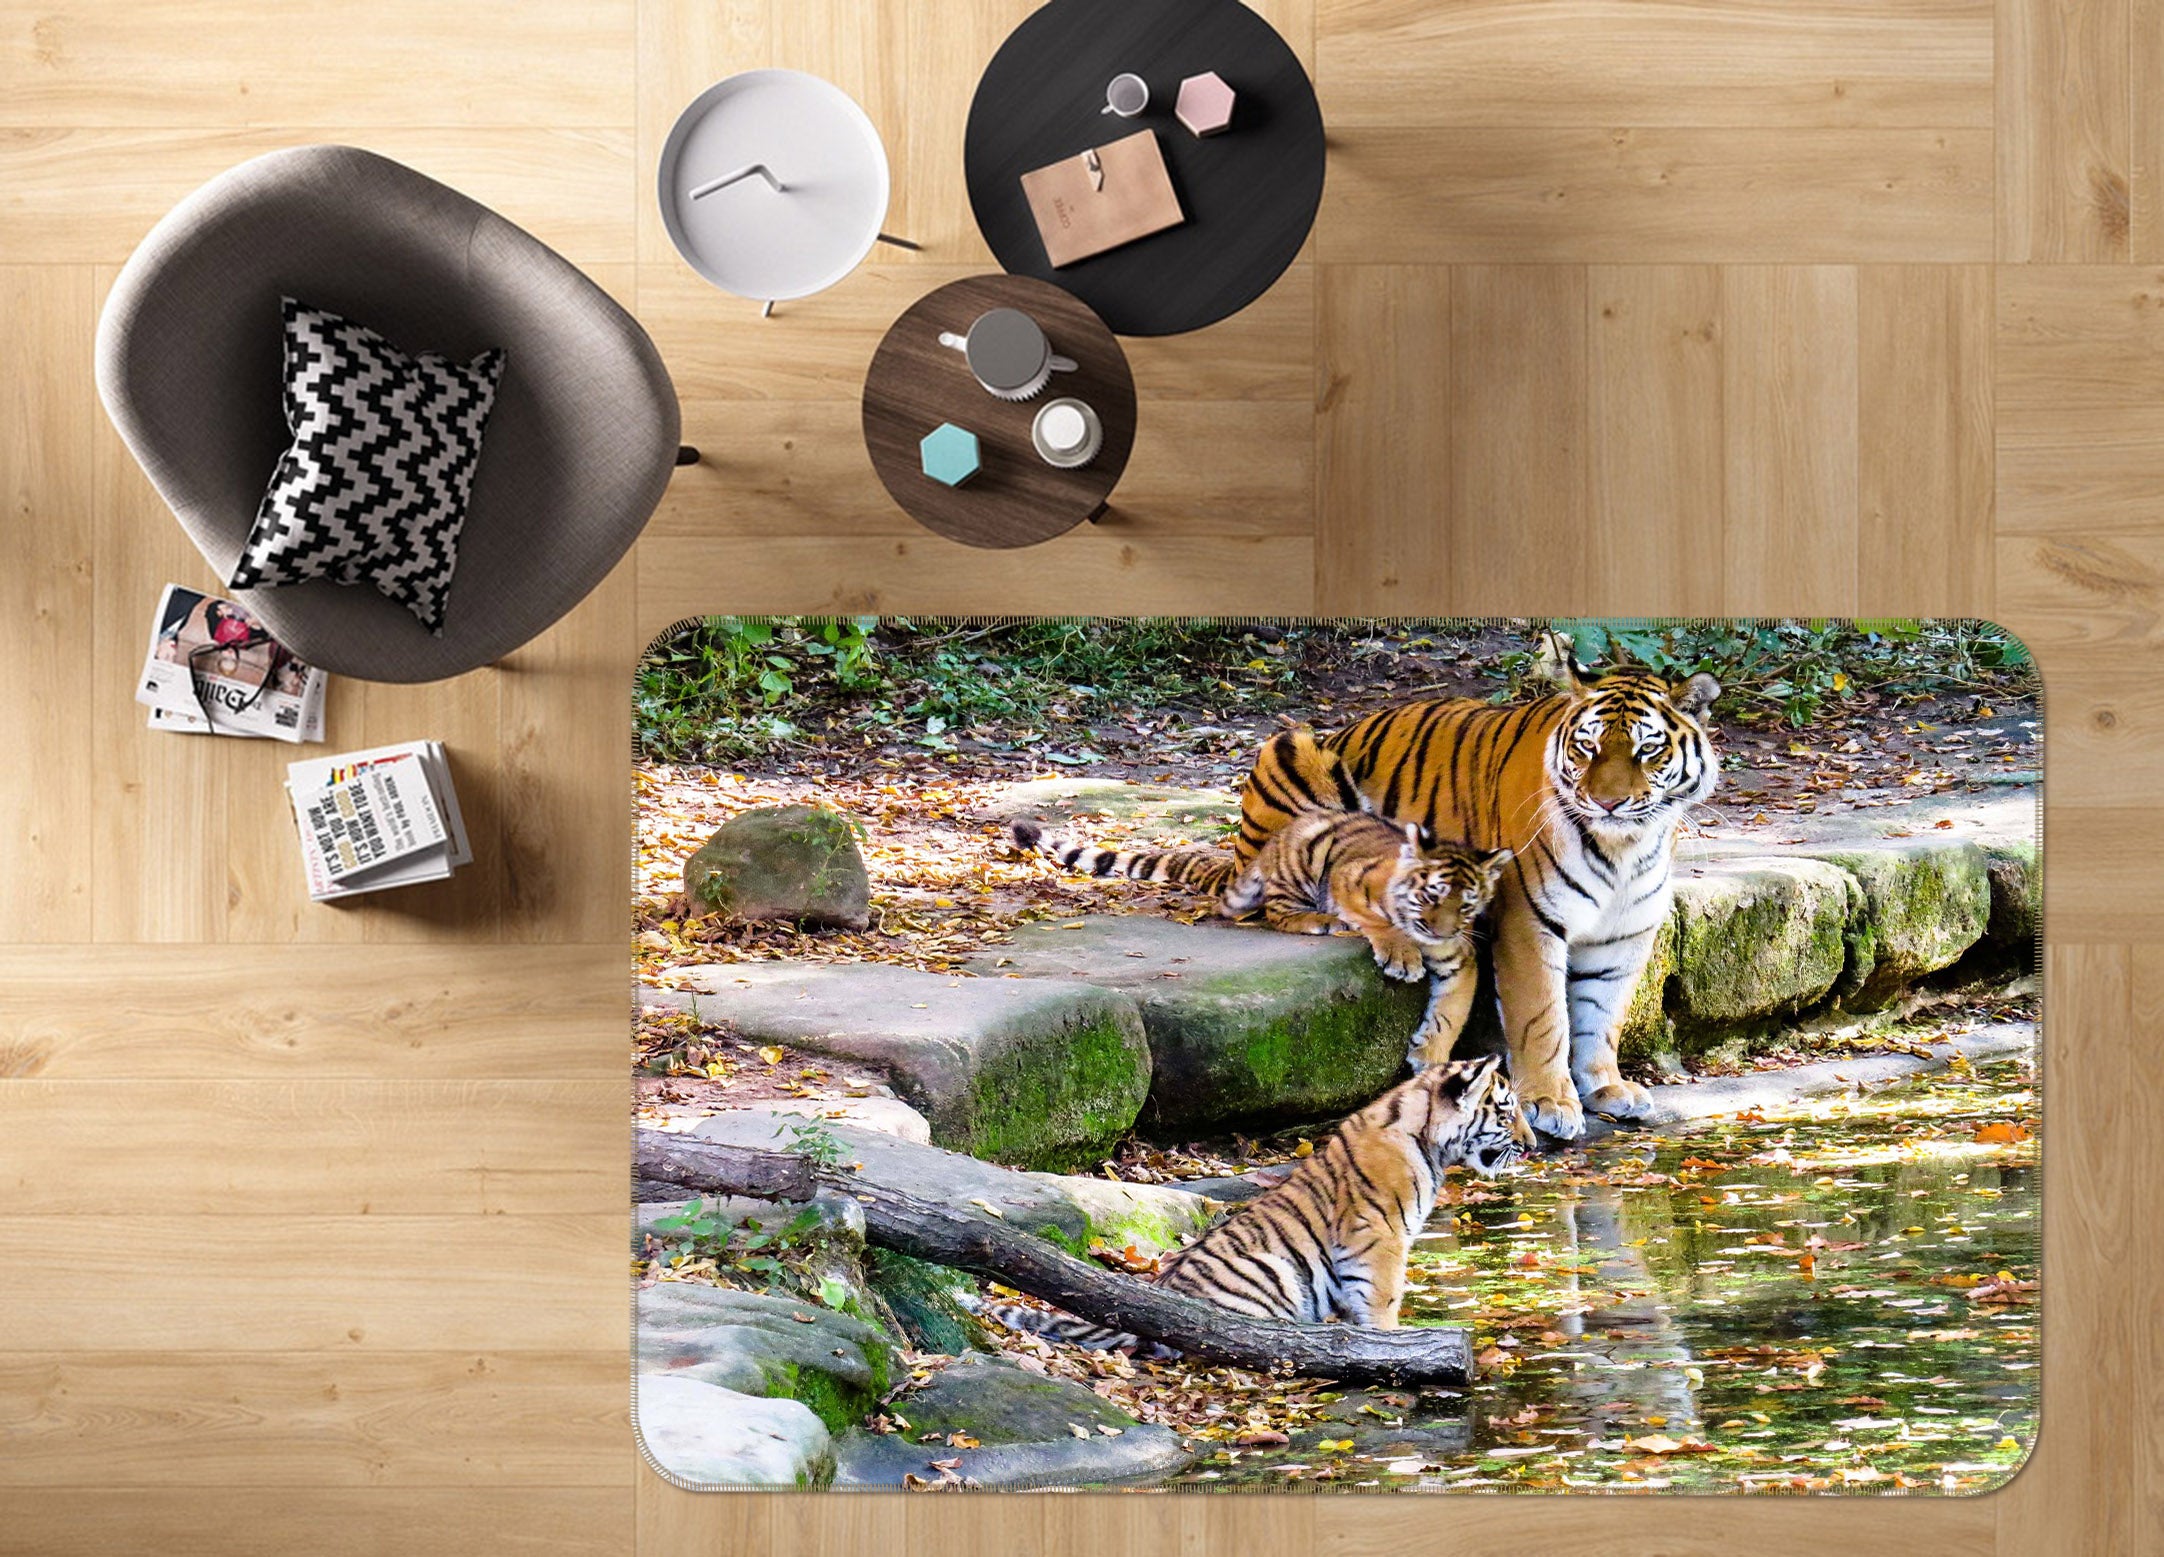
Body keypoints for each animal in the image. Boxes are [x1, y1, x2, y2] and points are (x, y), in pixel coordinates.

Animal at [967, 1054, 1531, 1353]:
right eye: (1506, 1112)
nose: (1533, 1144)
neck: (1428, 1138)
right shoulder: (1380, 1237)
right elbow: (1383, 1300)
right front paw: (1392, 1345)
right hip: (1270, 1273)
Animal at [1010, 811, 1510, 1067]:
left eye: (1466, 905)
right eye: (1432, 894)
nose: (1440, 930)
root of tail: (1271, 844)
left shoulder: (1462, 957)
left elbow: (1451, 1013)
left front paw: (1431, 1056)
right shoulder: (1349, 878)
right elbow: (1380, 920)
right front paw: (1400, 956)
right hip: (1305, 861)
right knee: (1277, 911)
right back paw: (1321, 920)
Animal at [1233, 633, 1720, 1141]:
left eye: (1647, 750)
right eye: (1587, 747)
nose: (1607, 802)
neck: (1625, 847)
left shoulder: (1626, 932)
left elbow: (1603, 1013)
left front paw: (1607, 1086)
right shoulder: (1529, 920)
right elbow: (1542, 1017)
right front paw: (1550, 1100)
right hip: (1292, 752)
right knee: (1281, 896)